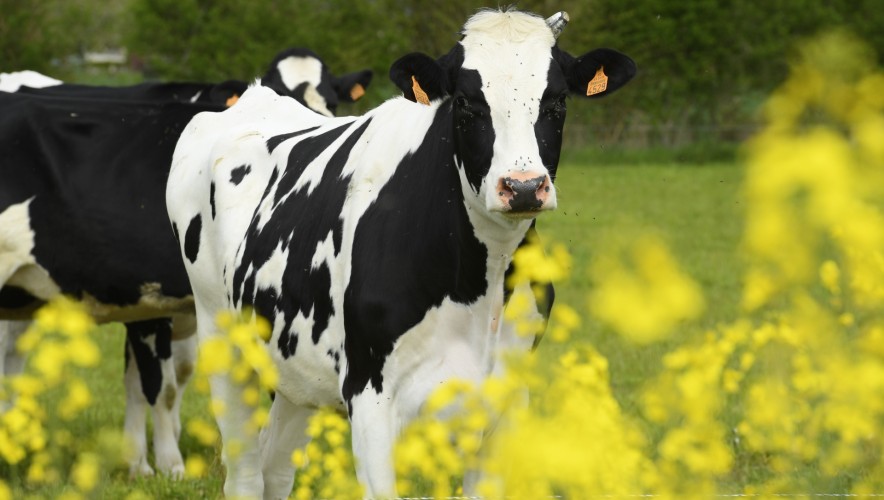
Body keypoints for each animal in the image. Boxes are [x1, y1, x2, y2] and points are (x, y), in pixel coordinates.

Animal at [166, 7, 636, 496]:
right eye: (466, 103)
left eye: (557, 102)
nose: (523, 186)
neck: (478, 289)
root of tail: (253, 97)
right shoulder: (369, 395)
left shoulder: (505, 397)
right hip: (222, 341)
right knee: (243, 474)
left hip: (294, 366)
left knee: (275, 466)